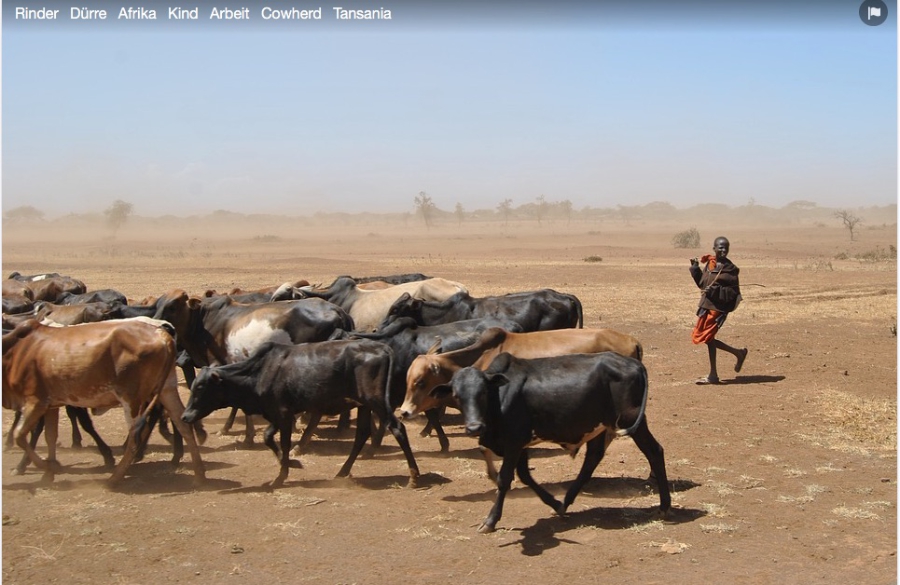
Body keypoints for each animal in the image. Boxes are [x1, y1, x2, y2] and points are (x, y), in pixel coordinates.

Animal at [2, 314, 203, 484]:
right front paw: (48, 473)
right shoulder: (52, 404)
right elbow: (50, 436)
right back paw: (198, 473)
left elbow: (21, 434)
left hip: (131, 399)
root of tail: (161, 334)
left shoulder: (36, 401)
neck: (17, 350)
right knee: (181, 423)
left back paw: (115, 477)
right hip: (167, 389)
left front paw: (42, 466)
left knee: (136, 434)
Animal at [185, 340, 424, 486]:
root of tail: (382, 348)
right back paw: (342, 472)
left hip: (376, 402)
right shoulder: (280, 414)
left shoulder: (283, 414)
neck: (259, 371)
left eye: (200, 387)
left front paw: (282, 475)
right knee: (362, 434)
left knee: (397, 428)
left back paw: (414, 477)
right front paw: (291, 464)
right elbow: (268, 438)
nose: (185, 416)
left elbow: (282, 443)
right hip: (364, 405)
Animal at [432, 350, 672, 532]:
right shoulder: (521, 445)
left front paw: (490, 521)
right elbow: (525, 476)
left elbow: (504, 479)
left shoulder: (513, 443)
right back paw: (565, 502)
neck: (500, 398)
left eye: (482, 392)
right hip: (600, 427)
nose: (474, 427)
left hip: (633, 422)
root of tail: (634, 363)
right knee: (592, 459)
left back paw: (665, 506)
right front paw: (555, 503)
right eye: (456, 395)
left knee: (655, 451)